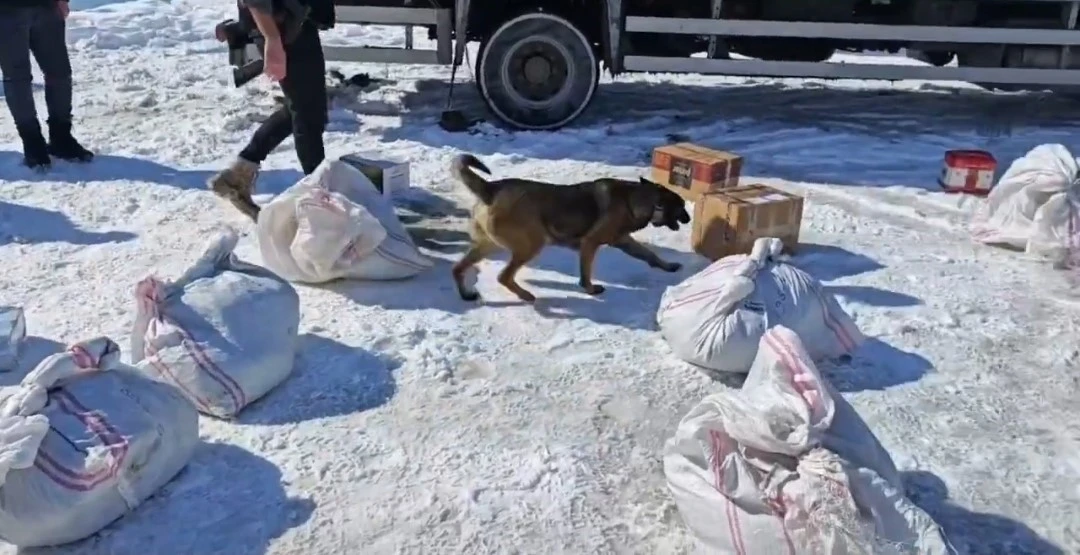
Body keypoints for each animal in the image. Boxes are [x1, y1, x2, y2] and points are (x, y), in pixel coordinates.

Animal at [449, 152, 691, 302]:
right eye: (681, 206)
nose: (689, 219)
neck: (638, 199)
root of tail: (490, 189)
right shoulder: (590, 244)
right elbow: (586, 273)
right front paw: (590, 289)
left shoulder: (624, 241)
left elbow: (650, 255)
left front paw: (668, 266)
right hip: (530, 244)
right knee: (503, 276)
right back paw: (525, 295)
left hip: (488, 245)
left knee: (458, 268)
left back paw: (466, 294)